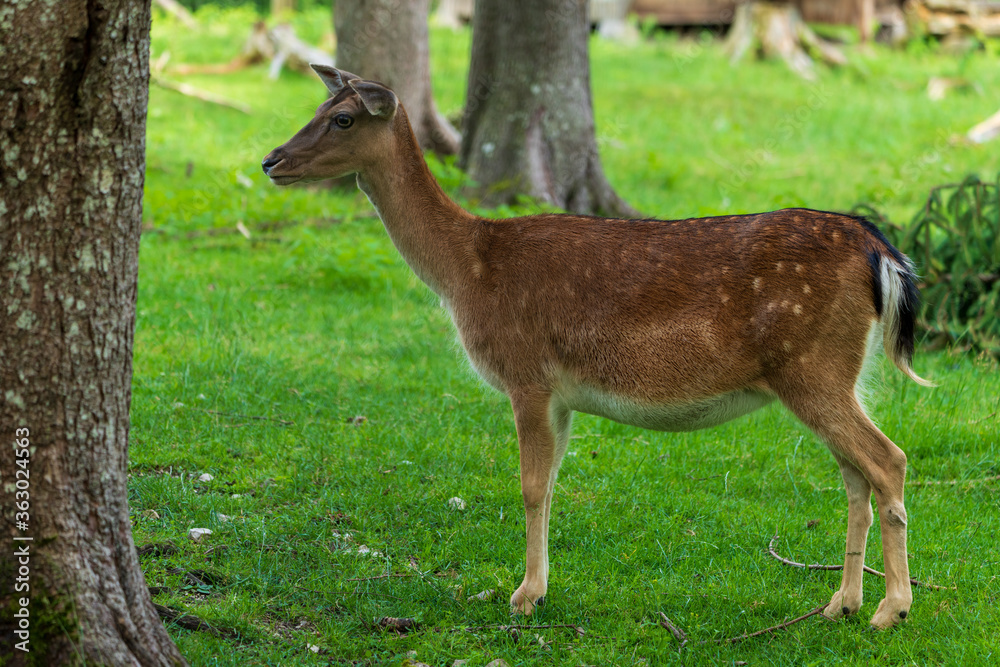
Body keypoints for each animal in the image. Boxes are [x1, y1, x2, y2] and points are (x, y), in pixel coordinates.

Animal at [264, 68, 928, 632]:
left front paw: (523, 596)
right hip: (836, 373)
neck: (465, 270)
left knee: (887, 459)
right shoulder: (560, 395)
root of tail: (880, 251)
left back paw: (890, 609)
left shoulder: (527, 372)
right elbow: (552, 482)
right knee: (856, 474)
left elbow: (530, 485)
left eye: (343, 118)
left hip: (811, 365)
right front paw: (537, 587)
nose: (271, 160)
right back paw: (841, 603)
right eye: (318, 107)